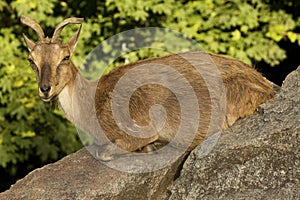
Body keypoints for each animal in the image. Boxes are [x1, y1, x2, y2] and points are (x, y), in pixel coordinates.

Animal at [20, 15, 274, 161]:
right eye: (31, 60)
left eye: (65, 57)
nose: (45, 88)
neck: (91, 103)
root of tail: (266, 85)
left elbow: (106, 151)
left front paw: (150, 147)